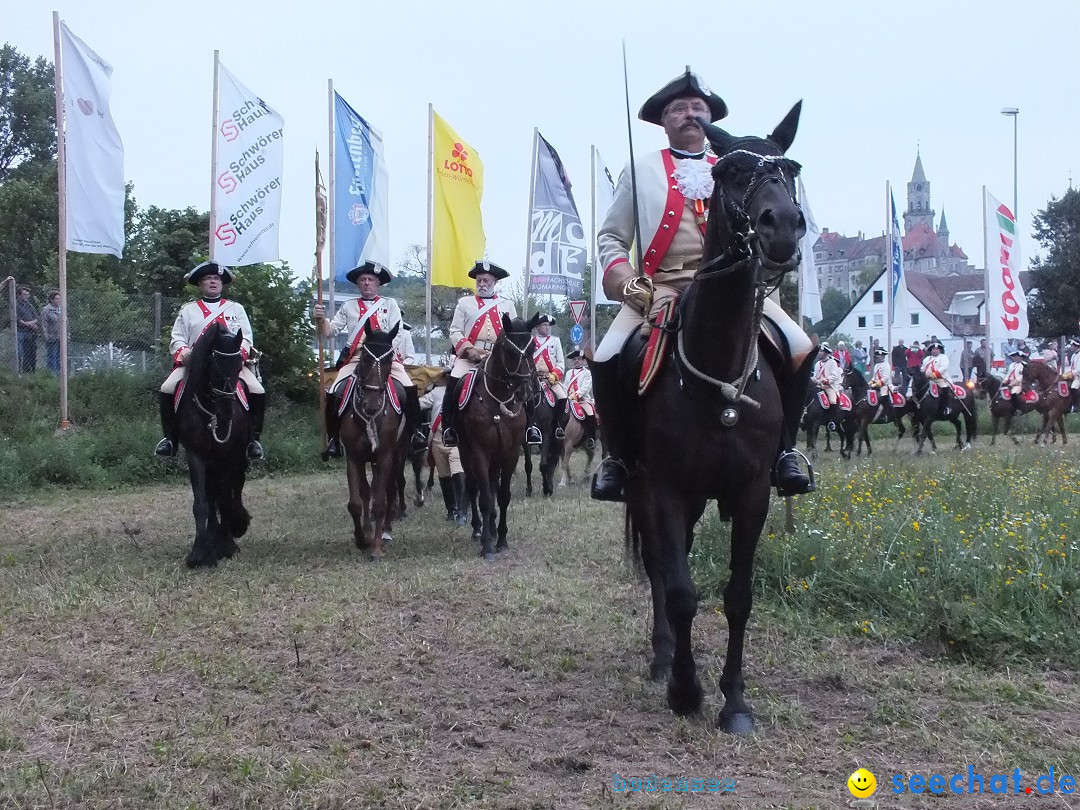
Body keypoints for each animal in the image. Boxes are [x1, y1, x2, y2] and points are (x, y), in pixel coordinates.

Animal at [177, 319, 252, 565]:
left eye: (239, 367)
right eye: (216, 367)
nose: (226, 415)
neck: (210, 411)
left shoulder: (230, 456)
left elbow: (226, 499)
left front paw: (226, 545)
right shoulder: (196, 456)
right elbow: (202, 503)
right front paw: (200, 552)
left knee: (234, 489)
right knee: (212, 497)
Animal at [336, 319, 406, 561]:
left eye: (389, 359)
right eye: (365, 358)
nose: (372, 405)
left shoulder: (385, 456)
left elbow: (380, 503)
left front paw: (376, 548)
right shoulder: (353, 457)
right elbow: (356, 502)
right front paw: (361, 539)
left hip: (396, 456)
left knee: (388, 490)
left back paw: (385, 531)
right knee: (368, 492)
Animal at [457, 313, 540, 561]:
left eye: (533, 348)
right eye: (510, 350)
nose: (525, 391)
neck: (497, 401)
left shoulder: (510, 454)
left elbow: (502, 496)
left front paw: (501, 539)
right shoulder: (479, 453)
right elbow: (484, 498)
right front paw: (486, 545)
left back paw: (492, 529)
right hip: (466, 453)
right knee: (473, 487)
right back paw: (478, 529)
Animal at [617, 103, 812, 734]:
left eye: (790, 168)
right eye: (730, 171)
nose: (782, 227)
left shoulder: (752, 492)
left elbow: (738, 595)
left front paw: (735, 701)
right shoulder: (666, 488)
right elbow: (680, 590)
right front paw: (685, 689)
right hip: (644, 488)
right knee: (658, 567)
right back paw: (662, 657)